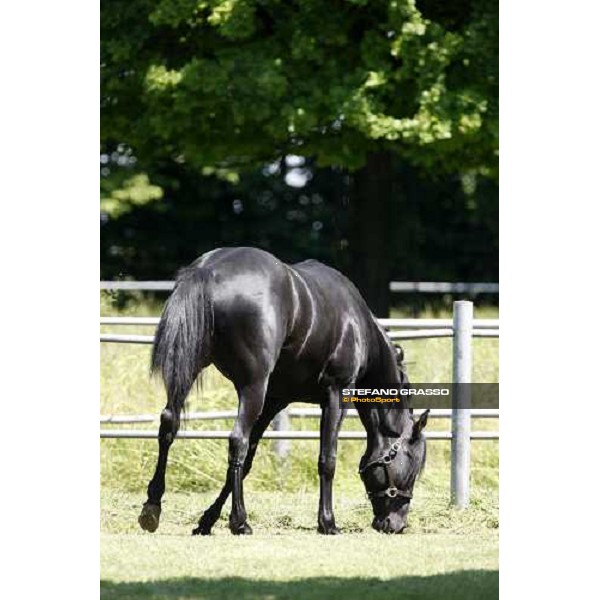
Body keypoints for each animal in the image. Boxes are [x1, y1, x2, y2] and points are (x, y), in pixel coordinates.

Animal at [137, 246, 426, 536]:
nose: (397, 525)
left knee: (169, 424)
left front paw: (207, 520)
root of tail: (209, 269)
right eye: (413, 465)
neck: (357, 324)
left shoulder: (274, 401)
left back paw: (152, 507)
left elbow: (249, 461)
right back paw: (240, 521)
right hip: (253, 387)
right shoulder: (336, 394)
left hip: (189, 370)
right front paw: (327, 522)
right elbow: (327, 459)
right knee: (237, 440)